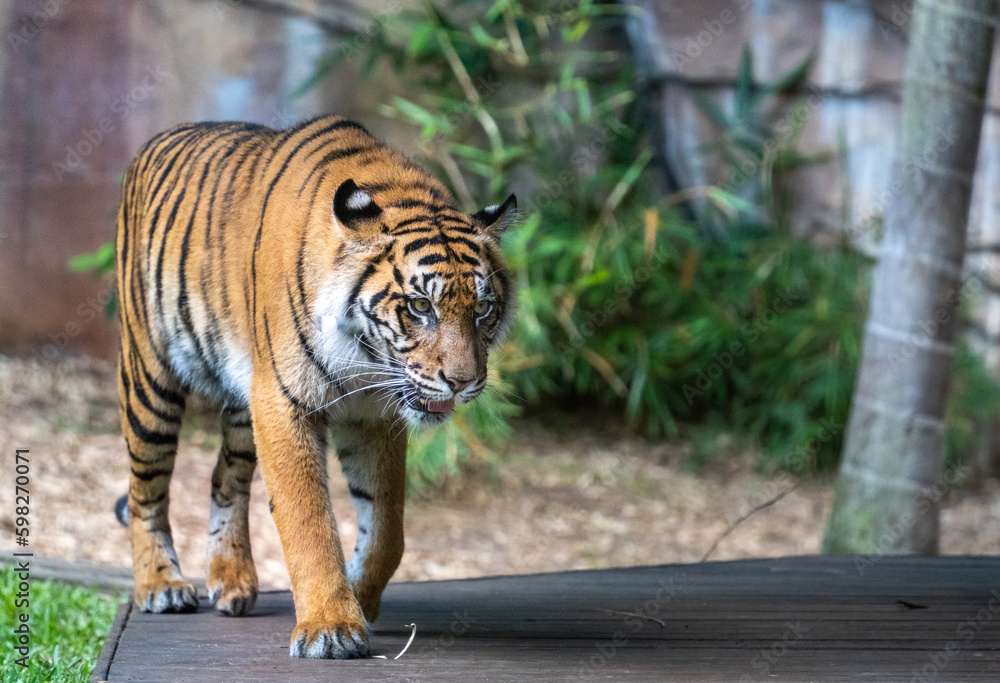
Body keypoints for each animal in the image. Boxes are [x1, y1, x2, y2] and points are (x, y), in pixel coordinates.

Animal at [113, 114, 516, 659]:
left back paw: (232, 580)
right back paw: (161, 586)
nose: (462, 382)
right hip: (150, 381)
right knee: (145, 491)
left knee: (225, 478)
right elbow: (308, 520)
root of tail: (157, 140)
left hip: (241, 403)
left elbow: (387, 528)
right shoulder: (283, 401)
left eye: (483, 310)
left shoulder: (372, 417)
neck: (368, 360)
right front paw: (331, 627)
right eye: (420, 307)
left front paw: (360, 598)